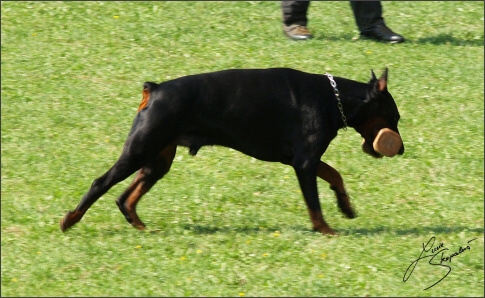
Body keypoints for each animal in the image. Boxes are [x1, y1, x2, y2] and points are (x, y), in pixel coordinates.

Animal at [60, 67, 402, 235]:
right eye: (395, 119)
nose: (401, 150)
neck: (334, 98)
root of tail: (154, 90)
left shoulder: (306, 159)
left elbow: (335, 174)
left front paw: (346, 207)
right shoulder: (304, 163)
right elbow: (314, 205)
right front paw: (326, 230)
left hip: (158, 159)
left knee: (125, 197)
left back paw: (140, 225)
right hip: (141, 148)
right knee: (101, 183)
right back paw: (70, 220)